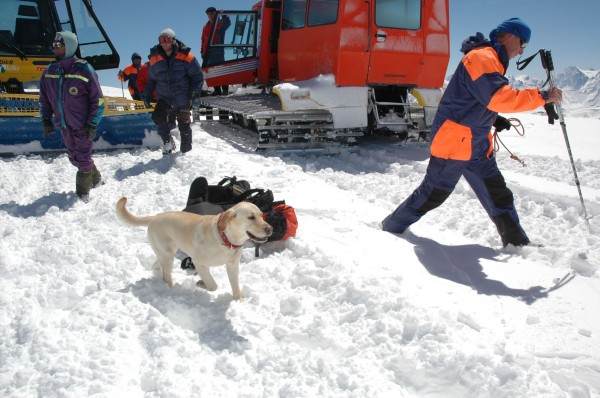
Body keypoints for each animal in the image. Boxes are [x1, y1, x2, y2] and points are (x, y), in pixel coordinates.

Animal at [114, 197, 272, 300]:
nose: (270, 229)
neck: (225, 239)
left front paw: (238, 301)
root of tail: (154, 217)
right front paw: (201, 283)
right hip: (168, 254)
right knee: (166, 275)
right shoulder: (199, 263)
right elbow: (213, 285)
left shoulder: (233, 265)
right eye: (251, 217)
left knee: (157, 265)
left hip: (166, 252)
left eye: (261, 215)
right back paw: (170, 289)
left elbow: (235, 287)